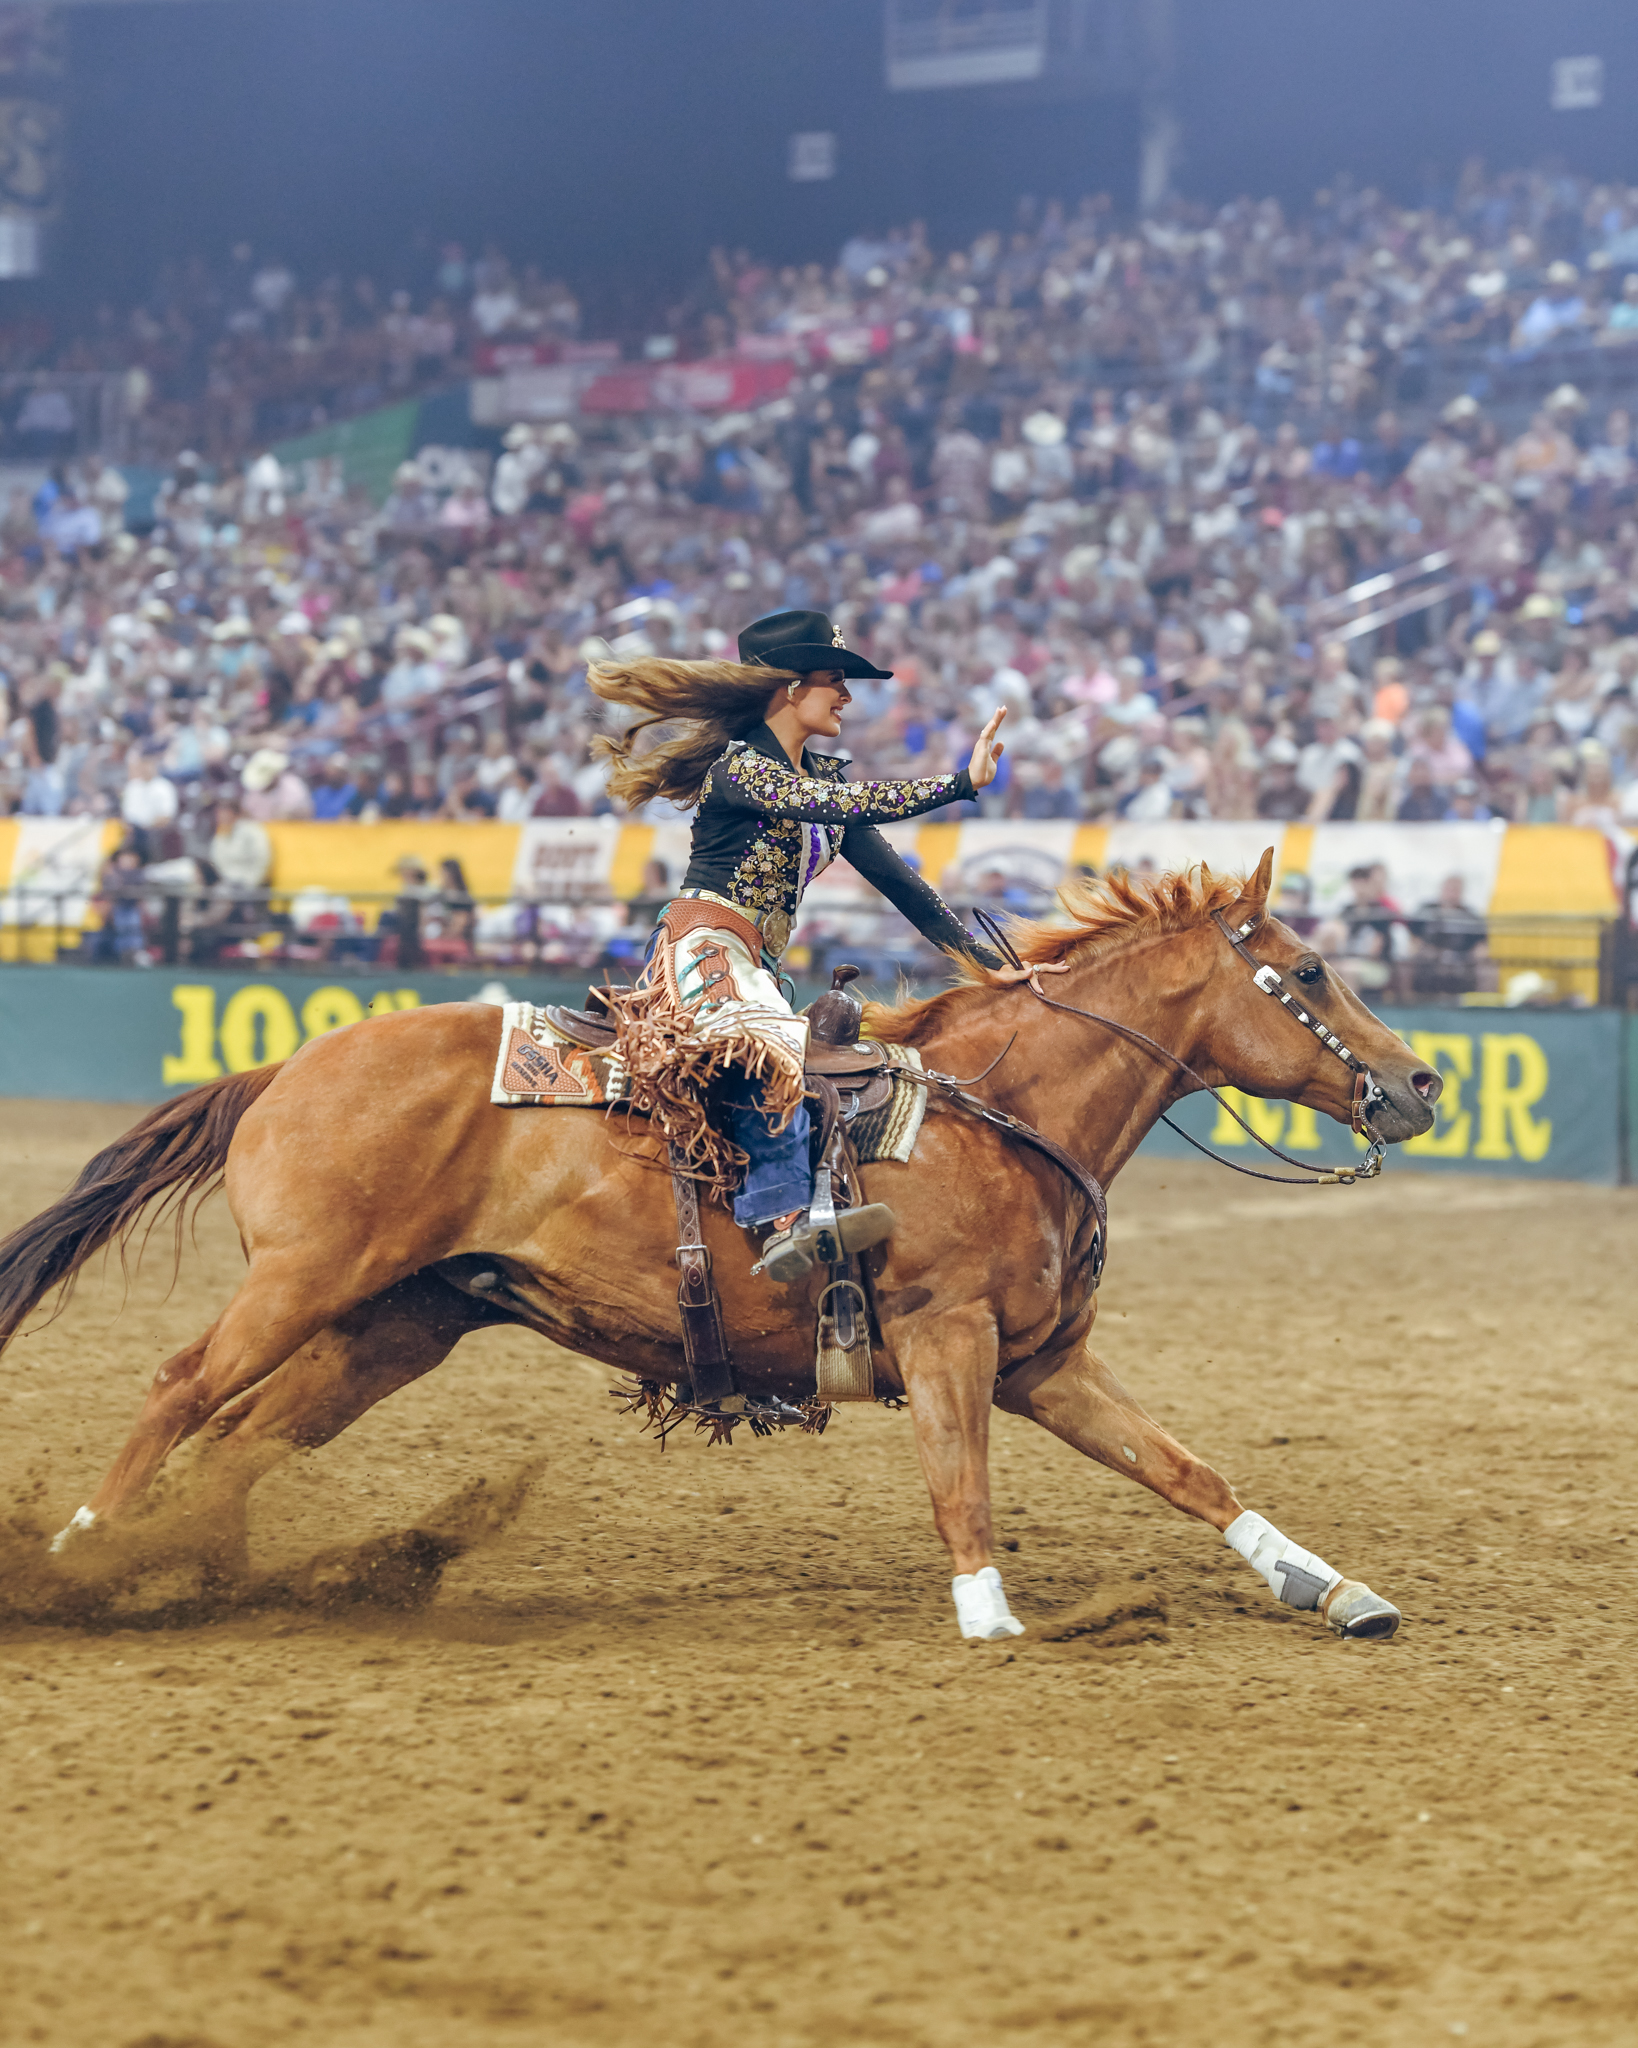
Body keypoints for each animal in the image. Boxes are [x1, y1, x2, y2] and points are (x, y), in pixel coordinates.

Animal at [0, 856, 1433, 1638]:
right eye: (1308, 971)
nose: (1418, 1084)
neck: (1000, 1113)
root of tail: (284, 1064)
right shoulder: (948, 1340)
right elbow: (961, 1487)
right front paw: (991, 1616)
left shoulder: (1044, 1359)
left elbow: (1188, 1468)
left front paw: (1333, 1587)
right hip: (302, 1282)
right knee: (180, 1386)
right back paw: (77, 1552)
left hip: (393, 1322)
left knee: (243, 1438)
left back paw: (192, 1573)